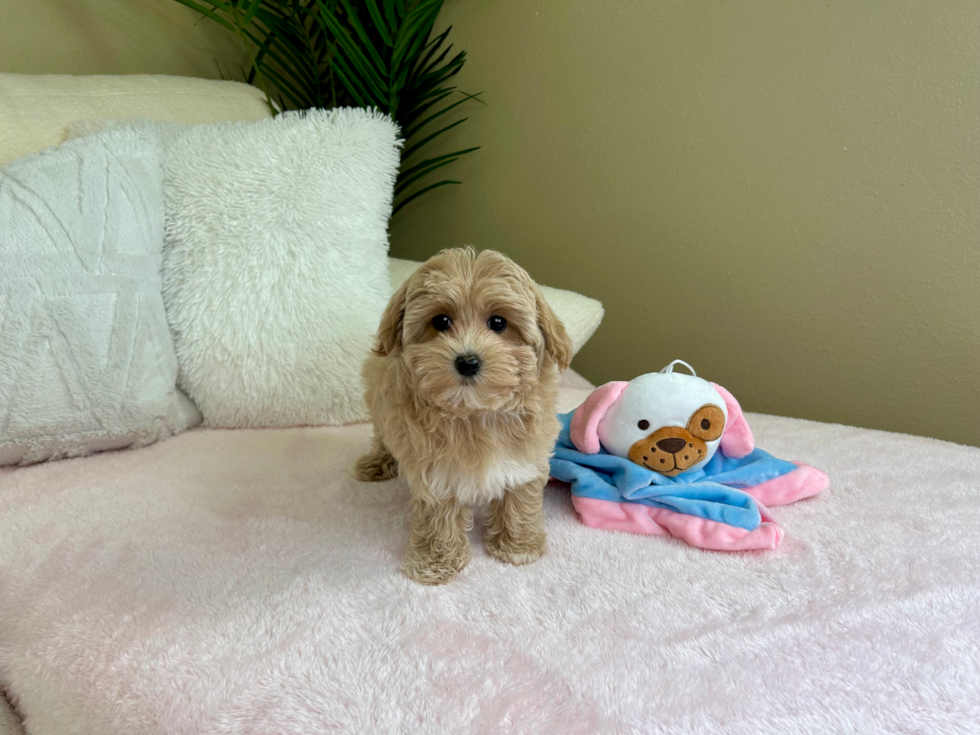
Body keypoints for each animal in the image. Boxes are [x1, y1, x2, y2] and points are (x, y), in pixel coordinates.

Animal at [352, 247, 572, 588]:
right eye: (441, 321)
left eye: (498, 322)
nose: (468, 361)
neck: (475, 412)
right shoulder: (435, 469)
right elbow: (439, 515)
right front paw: (434, 562)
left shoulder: (525, 455)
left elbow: (519, 495)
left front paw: (518, 545)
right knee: (382, 437)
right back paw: (377, 462)